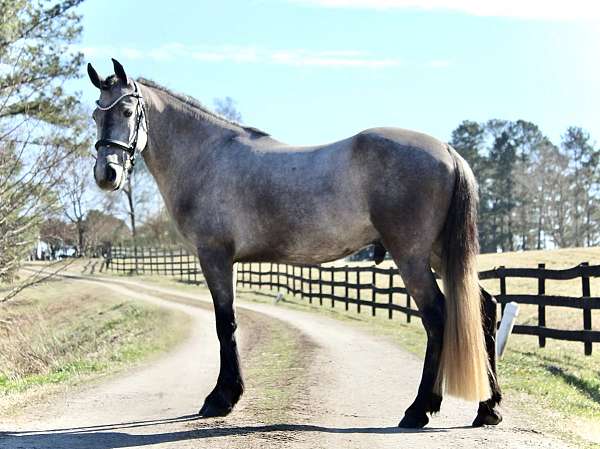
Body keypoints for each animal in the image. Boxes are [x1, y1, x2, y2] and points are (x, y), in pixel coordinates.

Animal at [88, 59, 502, 428]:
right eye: (95, 115)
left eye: (127, 110)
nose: (106, 174)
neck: (207, 157)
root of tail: (447, 150)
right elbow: (228, 323)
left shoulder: (215, 257)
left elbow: (225, 324)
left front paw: (221, 399)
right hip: (439, 254)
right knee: (484, 308)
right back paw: (488, 408)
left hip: (412, 257)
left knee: (437, 318)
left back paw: (419, 410)